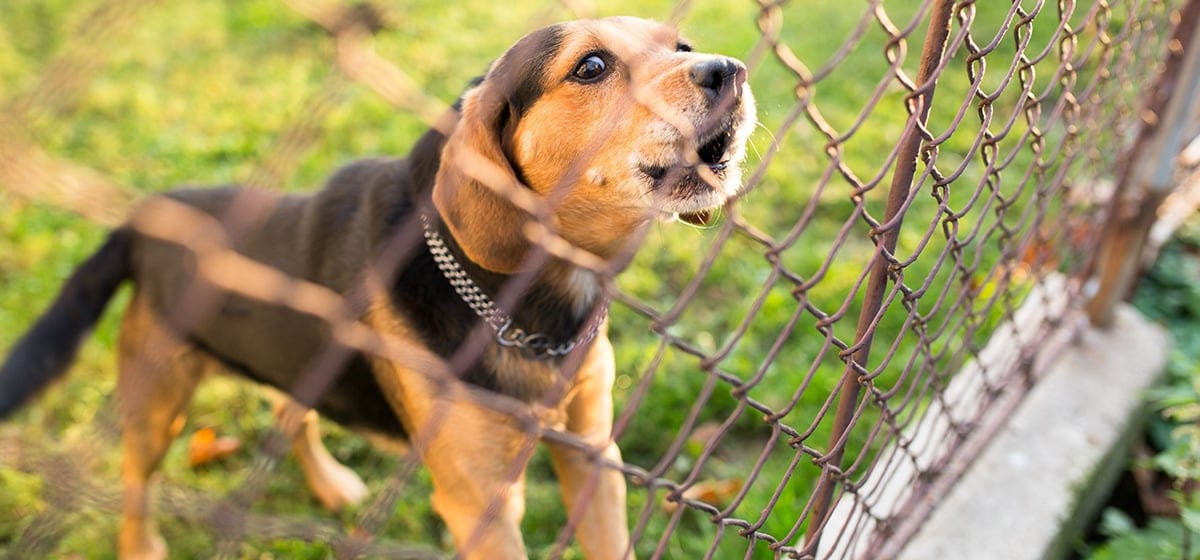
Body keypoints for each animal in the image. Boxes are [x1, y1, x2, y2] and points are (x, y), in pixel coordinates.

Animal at [0, 15, 748, 558]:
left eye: (682, 46)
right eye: (590, 66)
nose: (732, 70)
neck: (532, 305)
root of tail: (144, 218)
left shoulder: (594, 456)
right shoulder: (480, 506)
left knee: (291, 412)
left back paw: (331, 485)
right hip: (159, 399)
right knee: (136, 478)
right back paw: (142, 545)